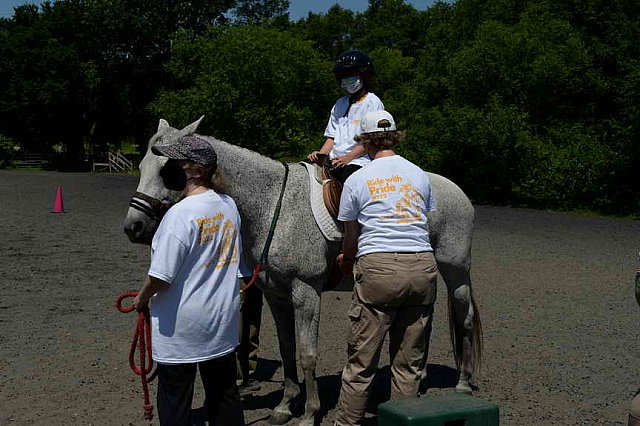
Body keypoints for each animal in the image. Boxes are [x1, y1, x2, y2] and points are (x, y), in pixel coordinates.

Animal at [125, 117, 482, 426]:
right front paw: (285, 406)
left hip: (455, 271)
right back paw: (419, 379)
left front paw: (309, 413)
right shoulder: (277, 295)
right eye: (141, 167)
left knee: (463, 318)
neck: (274, 205)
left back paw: (463, 384)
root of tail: (458, 192)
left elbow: (308, 353)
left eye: (168, 170)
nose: (134, 227)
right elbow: (288, 350)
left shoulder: (305, 291)